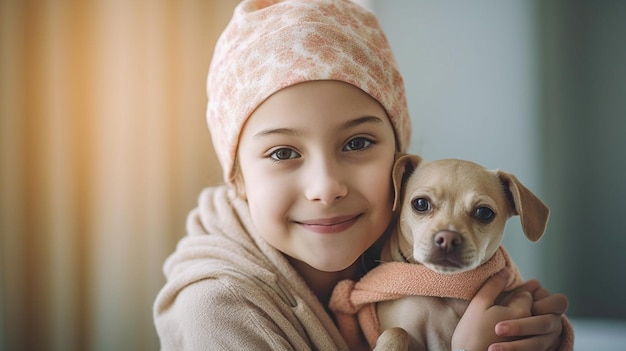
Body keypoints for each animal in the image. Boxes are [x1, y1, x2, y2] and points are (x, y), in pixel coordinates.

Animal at [372, 154, 548, 351]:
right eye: (420, 203)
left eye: (484, 212)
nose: (448, 238)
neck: (447, 289)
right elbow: (398, 330)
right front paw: (388, 347)